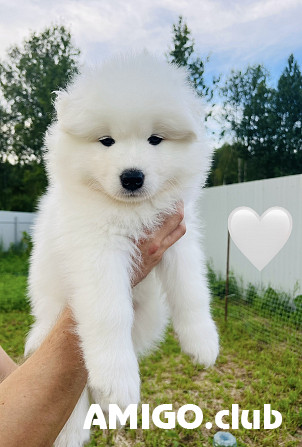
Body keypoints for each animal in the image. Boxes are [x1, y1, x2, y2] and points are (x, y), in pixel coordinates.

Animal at [25, 53, 219, 447]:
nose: (132, 177)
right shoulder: (96, 249)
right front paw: (119, 383)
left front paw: (203, 340)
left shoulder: (180, 239)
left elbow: (192, 290)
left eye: (155, 139)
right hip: (52, 309)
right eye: (106, 141)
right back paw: (77, 423)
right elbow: (110, 312)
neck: (131, 211)